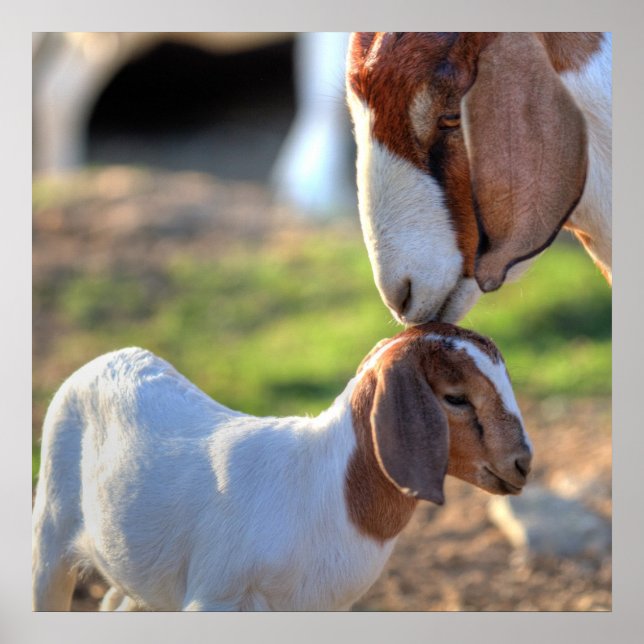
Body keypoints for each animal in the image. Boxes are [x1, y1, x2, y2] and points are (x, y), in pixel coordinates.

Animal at [32, 322, 532, 611]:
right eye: (455, 397)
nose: (523, 463)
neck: (324, 489)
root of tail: (109, 358)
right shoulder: (215, 597)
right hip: (50, 538)